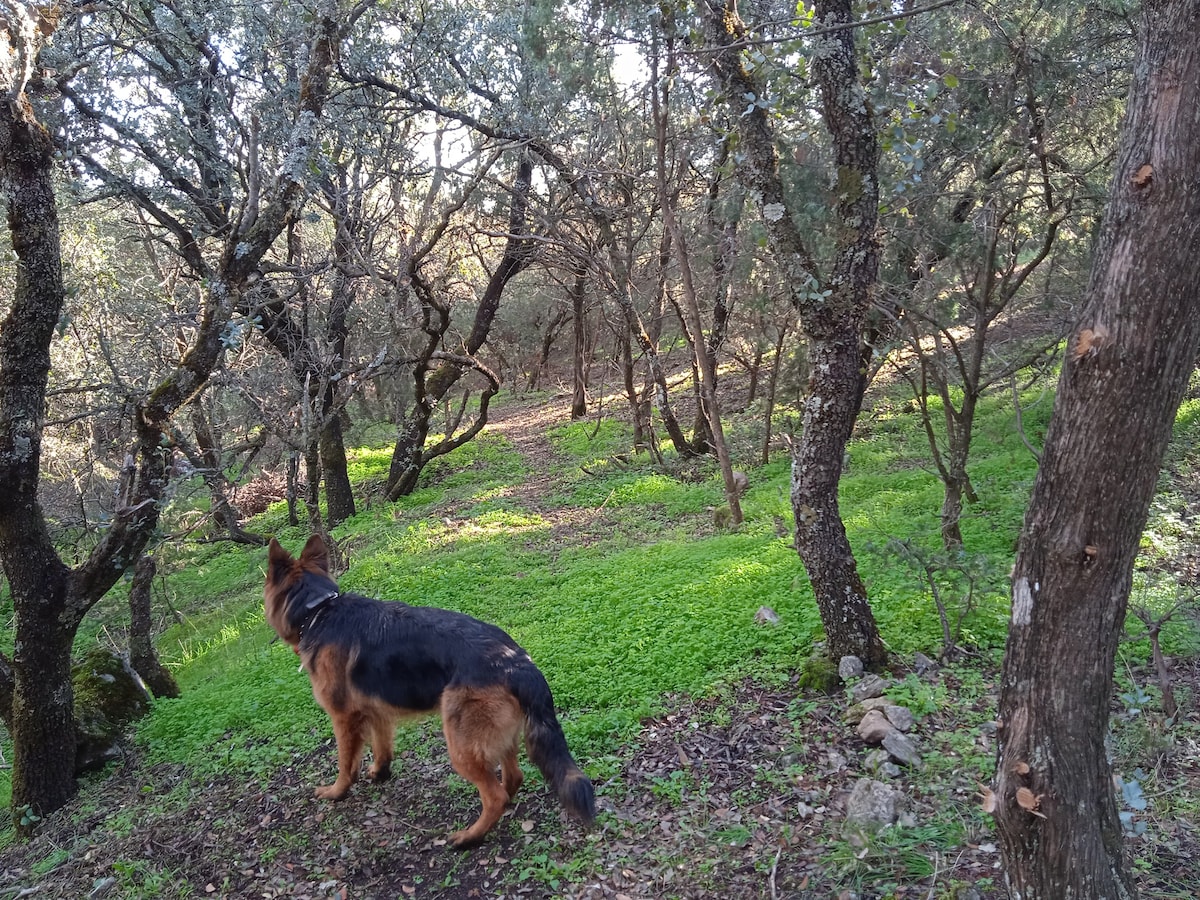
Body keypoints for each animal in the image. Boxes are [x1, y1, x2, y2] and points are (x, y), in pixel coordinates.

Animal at [266, 540, 595, 849]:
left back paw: (469, 837)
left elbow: (346, 763)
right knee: (512, 778)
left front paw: (336, 792)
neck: (318, 609)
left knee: (495, 796)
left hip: (461, 746)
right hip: (497, 738)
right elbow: (382, 747)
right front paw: (380, 773)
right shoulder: (377, 711)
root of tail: (516, 661)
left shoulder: (344, 718)